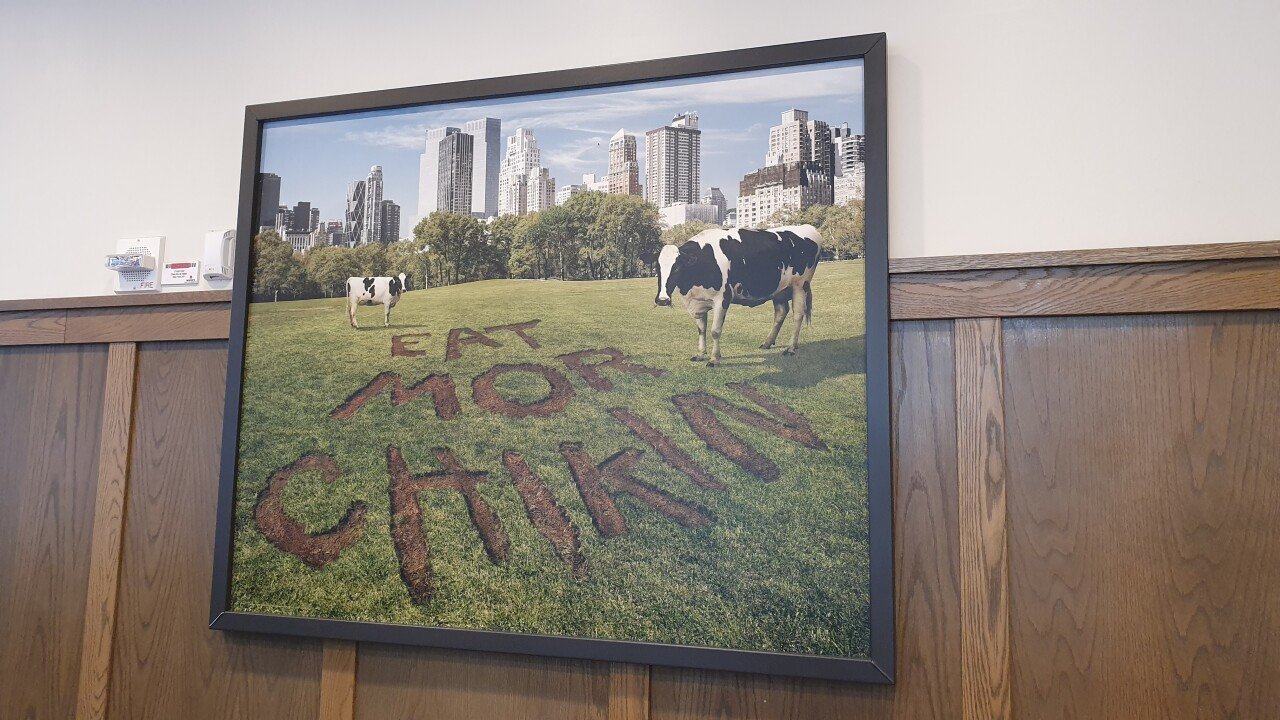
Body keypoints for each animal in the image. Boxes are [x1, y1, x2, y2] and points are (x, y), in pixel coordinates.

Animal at [655, 222, 824, 363]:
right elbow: (701, 329)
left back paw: (790, 348)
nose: (662, 300)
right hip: (780, 290)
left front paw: (714, 359)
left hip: (800, 285)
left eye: (677, 268)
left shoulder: (722, 299)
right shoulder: (698, 301)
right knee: (781, 312)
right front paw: (700, 354)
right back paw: (768, 342)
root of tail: (808, 227)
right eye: (657, 268)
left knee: (798, 315)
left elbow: (715, 331)